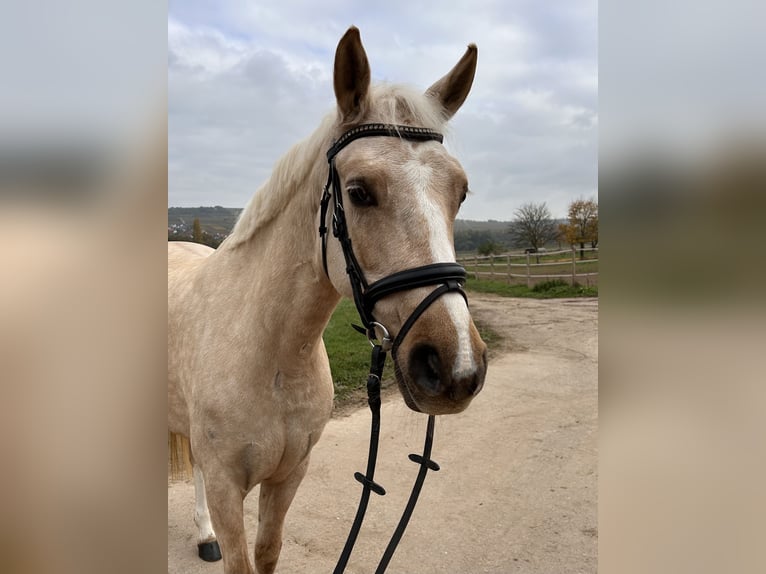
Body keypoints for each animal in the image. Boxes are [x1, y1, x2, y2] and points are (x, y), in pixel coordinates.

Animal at [170, 28, 488, 574]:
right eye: (359, 191)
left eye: (461, 192)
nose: (456, 367)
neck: (271, 356)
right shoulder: (227, 488)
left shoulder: (288, 476)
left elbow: (268, 553)